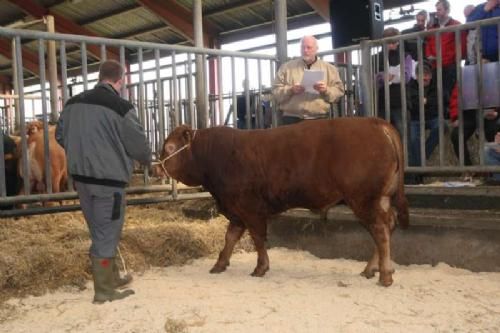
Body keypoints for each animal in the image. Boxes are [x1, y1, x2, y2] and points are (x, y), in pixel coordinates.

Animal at [158, 117, 408, 286]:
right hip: (380, 198)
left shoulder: (250, 209)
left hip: (363, 199)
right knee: (388, 225)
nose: (155, 168)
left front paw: (260, 267)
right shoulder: (236, 210)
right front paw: (219, 264)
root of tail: (375, 122)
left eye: (169, 148)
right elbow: (230, 238)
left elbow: (258, 238)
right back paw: (372, 269)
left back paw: (385, 275)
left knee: (380, 231)